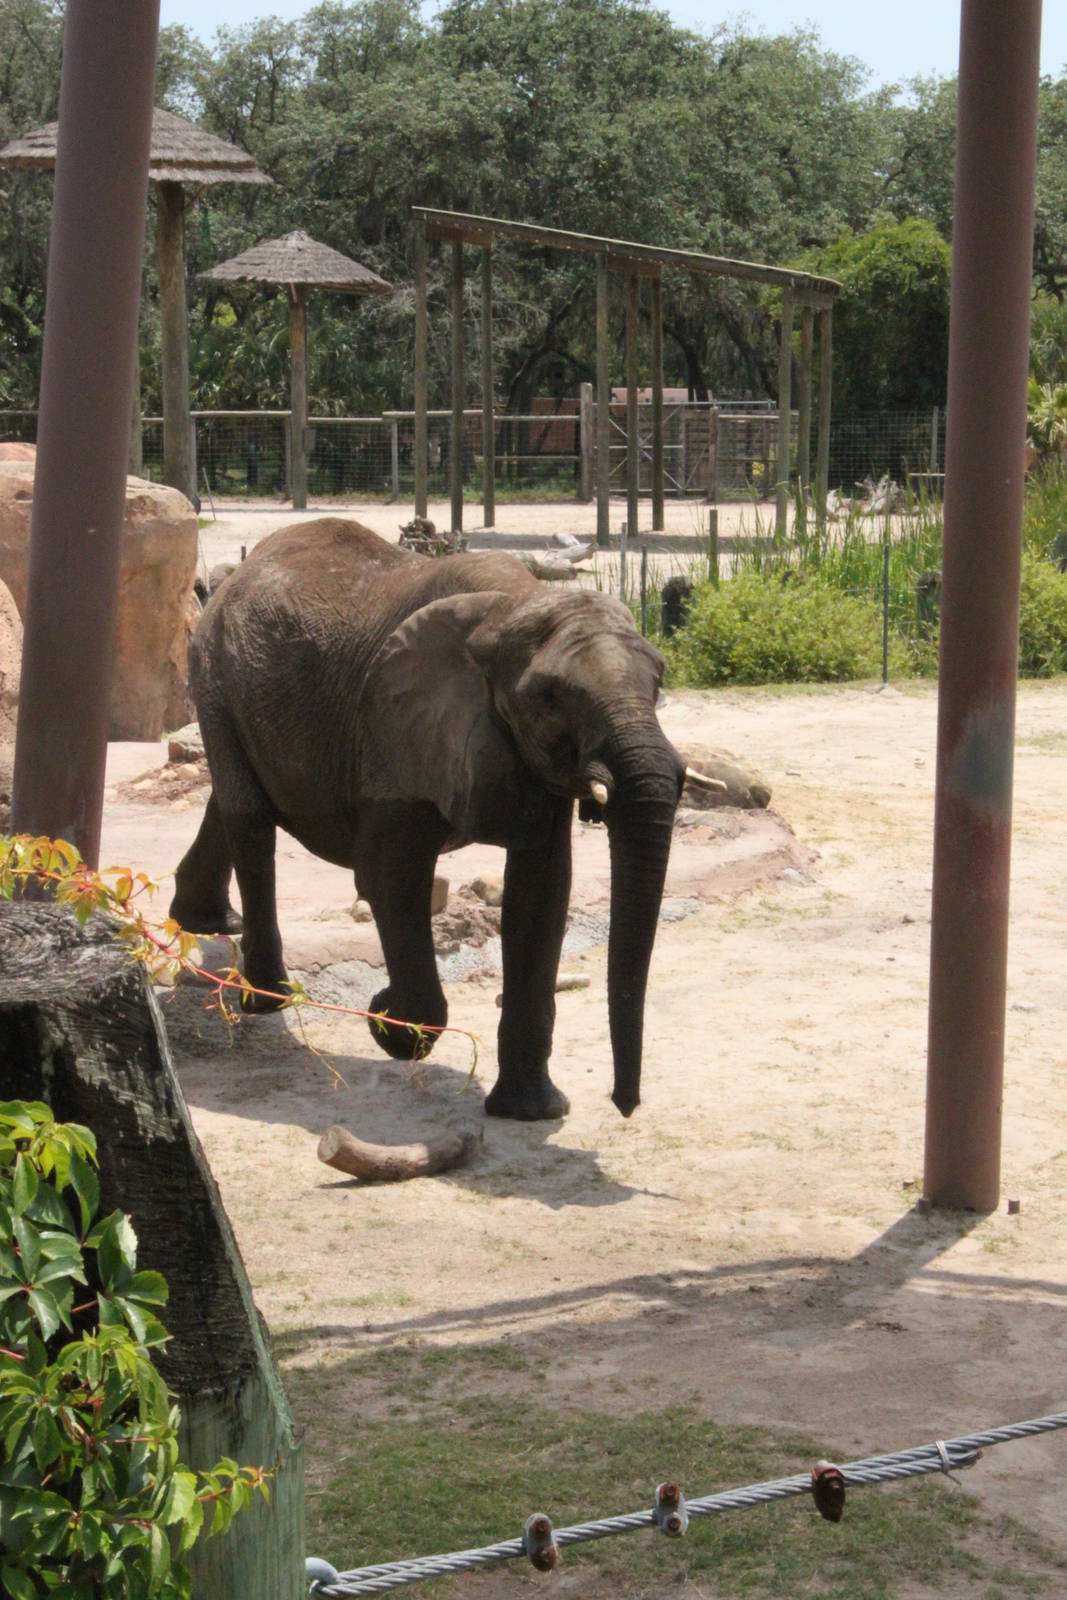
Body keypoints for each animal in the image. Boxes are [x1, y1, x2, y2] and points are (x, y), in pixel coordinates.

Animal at [170, 518, 721, 1121]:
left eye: (659, 680)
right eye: (550, 698)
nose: (623, 1104)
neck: (515, 604)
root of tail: (234, 574)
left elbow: (542, 893)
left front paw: (531, 1112)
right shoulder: (395, 727)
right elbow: (389, 875)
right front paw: (387, 1022)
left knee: (231, 801)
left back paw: (208, 922)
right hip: (214, 673)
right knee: (250, 824)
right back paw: (265, 999)